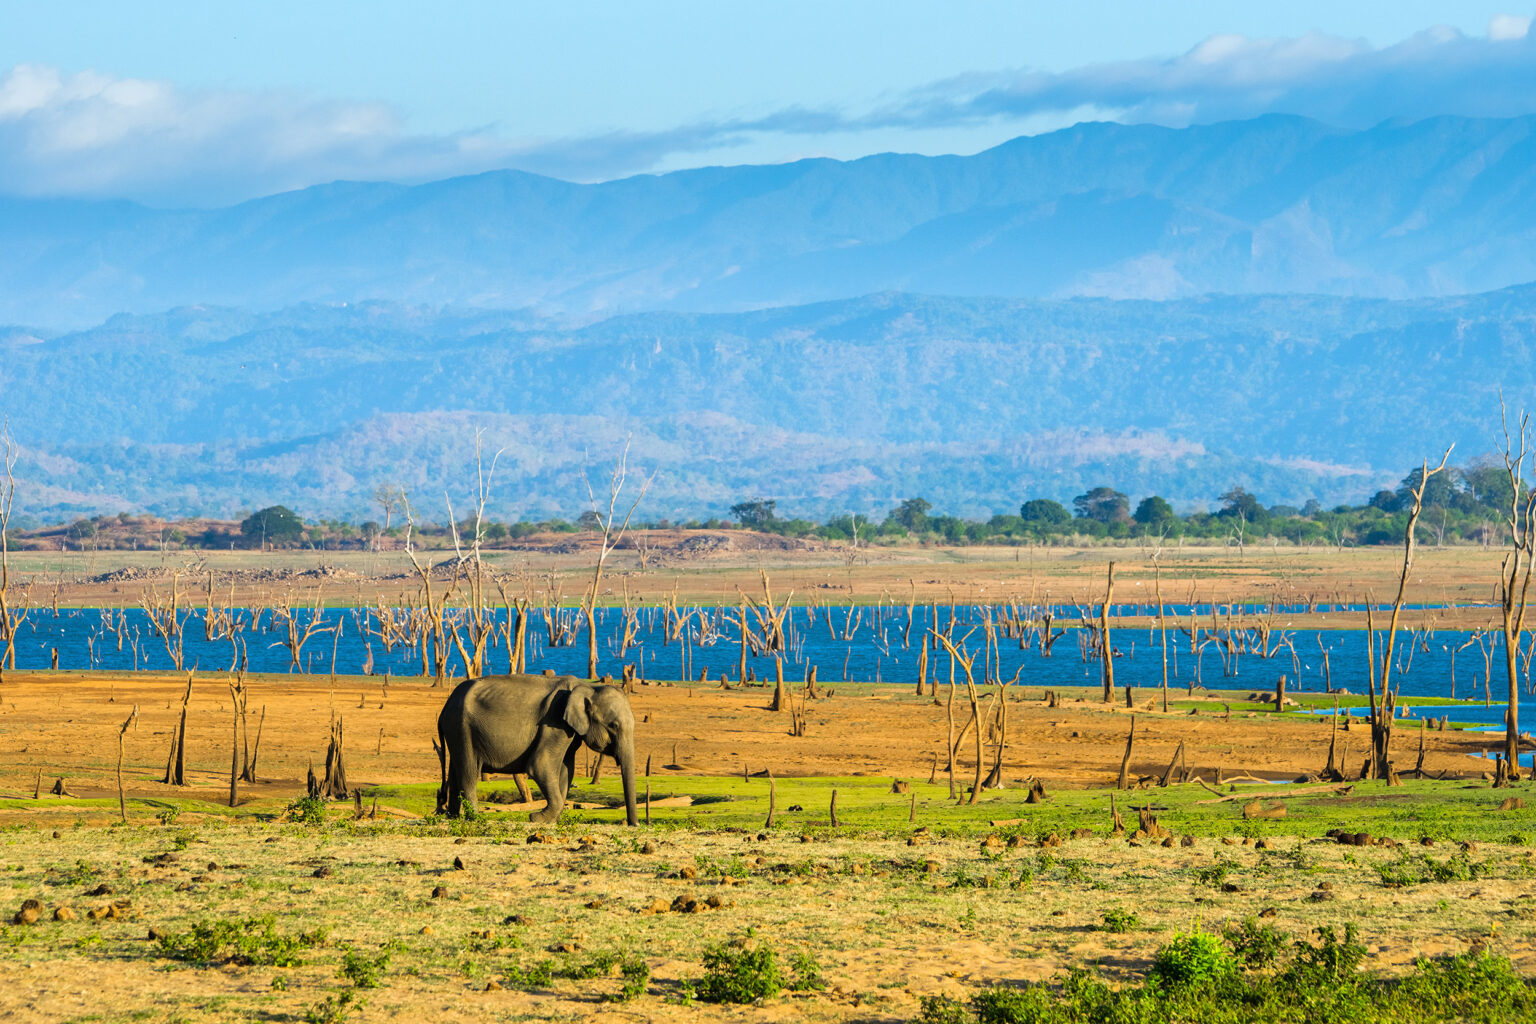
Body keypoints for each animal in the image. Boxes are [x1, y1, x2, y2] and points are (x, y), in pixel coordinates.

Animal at [433, 672, 635, 822]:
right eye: (614, 725)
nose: (633, 823)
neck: (587, 687)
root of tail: (444, 710)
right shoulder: (554, 722)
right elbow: (540, 765)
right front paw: (537, 818)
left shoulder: (568, 732)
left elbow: (566, 770)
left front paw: (552, 819)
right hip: (462, 727)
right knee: (469, 771)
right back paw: (474, 817)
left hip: (457, 731)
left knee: (456, 769)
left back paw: (453, 817)